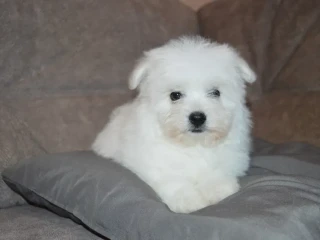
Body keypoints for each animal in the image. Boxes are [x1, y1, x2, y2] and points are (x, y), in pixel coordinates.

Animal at [92, 35, 255, 212]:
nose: (197, 117)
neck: (194, 145)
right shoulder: (153, 162)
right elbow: (171, 179)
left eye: (215, 93)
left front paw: (217, 188)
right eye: (175, 95)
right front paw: (187, 199)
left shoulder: (231, 156)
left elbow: (217, 169)